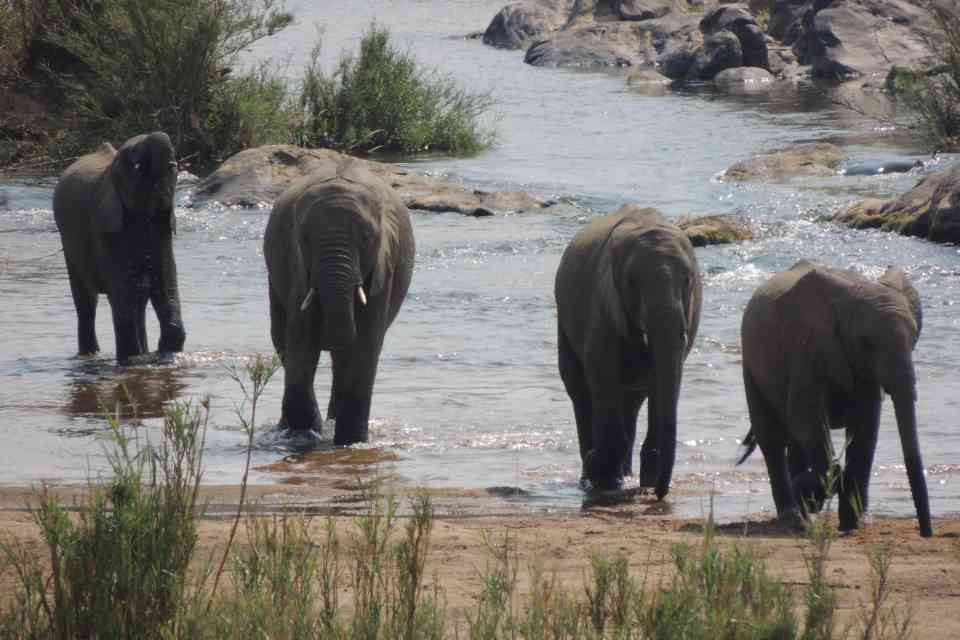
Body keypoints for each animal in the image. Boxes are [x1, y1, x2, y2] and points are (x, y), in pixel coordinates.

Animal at [54, 131, 185, 364]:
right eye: (134, 160)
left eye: (173, 168)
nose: (172, 161)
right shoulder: (104, 224)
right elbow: (122, 289)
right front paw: (132, 359)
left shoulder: (163, 223)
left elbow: (165, 277)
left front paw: (164, 353)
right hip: (68, 242)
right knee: (87, 303)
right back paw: (90, 355)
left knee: (138, 301)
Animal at [263, 159, 415, 445]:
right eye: (305, 238)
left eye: (366, 237)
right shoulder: (298, 265)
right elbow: (300, 339)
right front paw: (306, 435)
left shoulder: (383, 265)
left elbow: (366, 342)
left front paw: (351, 442)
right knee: (280, 335)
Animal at [555, 205, 702, 497]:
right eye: (632, 282)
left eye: (688, 280)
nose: (660, 493)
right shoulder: (602, 304)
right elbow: (601, 373)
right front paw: (603, 478)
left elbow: (662, 379)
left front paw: (645, 481)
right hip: (564, 321)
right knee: (579, 388)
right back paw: (592, 477)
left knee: (634, 398)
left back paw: (623, 473)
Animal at [737, 260, 932, 537]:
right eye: (867, 343)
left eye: (915, 338)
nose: (926, 533)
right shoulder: (806, 346)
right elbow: (806, 415)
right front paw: (814, 491)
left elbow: (865, 426)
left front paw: (850, 525)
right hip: (752, 364)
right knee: (773, 438)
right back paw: (794, 517)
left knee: (795, 441)